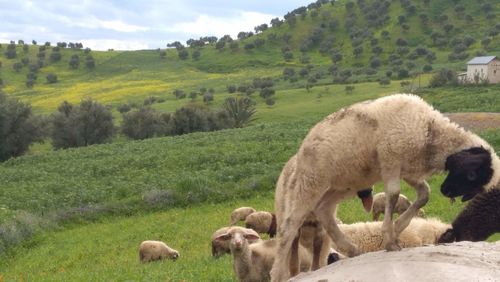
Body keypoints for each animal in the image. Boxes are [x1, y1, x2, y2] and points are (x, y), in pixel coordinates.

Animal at [272, 94, 500, 282]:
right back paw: (278, 274)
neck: (430, 131)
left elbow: (424, 194)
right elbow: (394, 194)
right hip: (312, 180)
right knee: (289, 226)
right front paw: (390, 239)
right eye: (470, 175)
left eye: (475, 185)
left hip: (341, 184)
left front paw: (398, 227)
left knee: (324, 211)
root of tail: (305, 143)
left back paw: (351, 249)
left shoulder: (407, 170)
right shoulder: (390, 159)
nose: (446, 191)